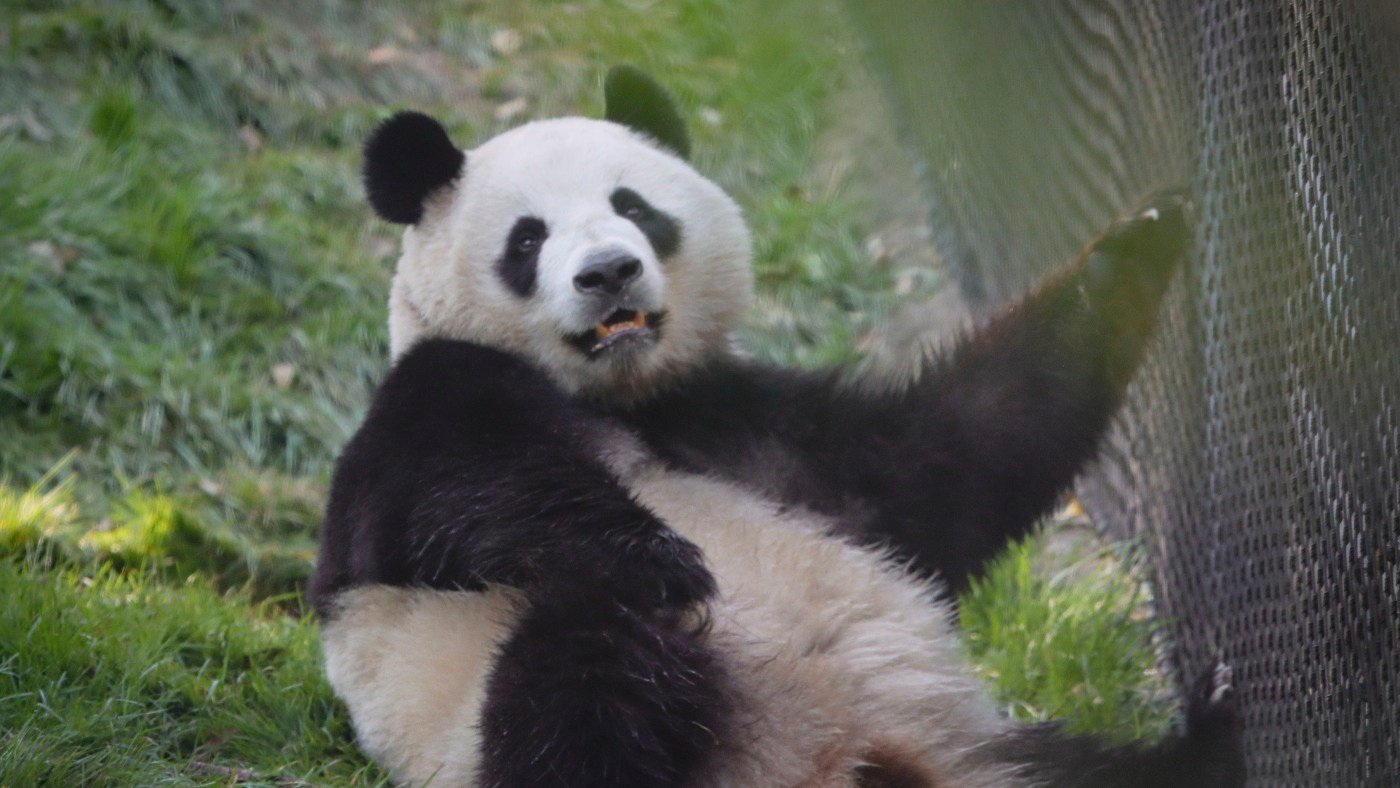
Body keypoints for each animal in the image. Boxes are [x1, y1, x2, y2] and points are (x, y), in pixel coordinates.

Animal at [309, 67, 1248, 788]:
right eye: (527, 238)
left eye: (635, 208)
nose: (609, 272)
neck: (621, 399)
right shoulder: (425, 401)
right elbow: (452, 490)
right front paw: (657, 554)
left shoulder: (742, 425)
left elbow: (949, 459)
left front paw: (1140, 243)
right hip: (511, 709)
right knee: (586, 670)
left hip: (980, 750)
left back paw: (1213, 732)